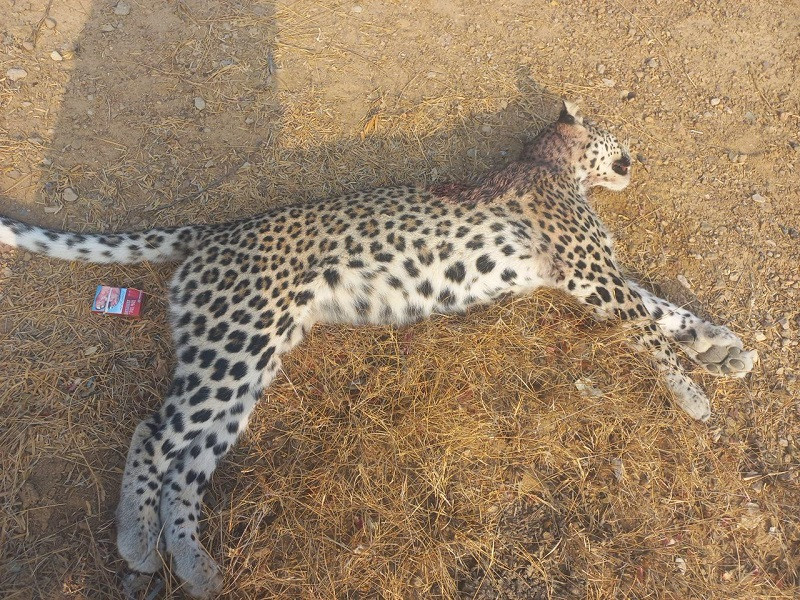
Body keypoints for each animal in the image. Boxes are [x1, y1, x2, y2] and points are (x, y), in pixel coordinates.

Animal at [1, 101, 756, 596]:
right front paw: (692, 392)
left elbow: (665, 310)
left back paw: (193, 564)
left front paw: (724, 349)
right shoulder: (588, 273)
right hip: (236, 343)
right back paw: (137, 541)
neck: (550, 164)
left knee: (188, 464)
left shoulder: (591, 274)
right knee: (154, 431)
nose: (637, 156)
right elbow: (649, 327)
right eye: (613, 132)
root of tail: (214, 230)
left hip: (249, 360)